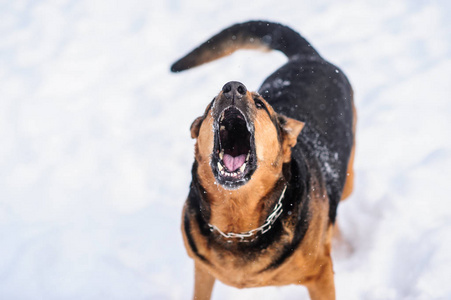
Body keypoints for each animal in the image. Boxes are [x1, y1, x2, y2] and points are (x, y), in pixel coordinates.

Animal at [172, 21, 356, 300]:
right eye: (212, 103)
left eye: (259, 103)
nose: (232, 87)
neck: (237, 224)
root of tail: (308, 58)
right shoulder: (202, 269)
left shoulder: (321, 274)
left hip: (348, 180)